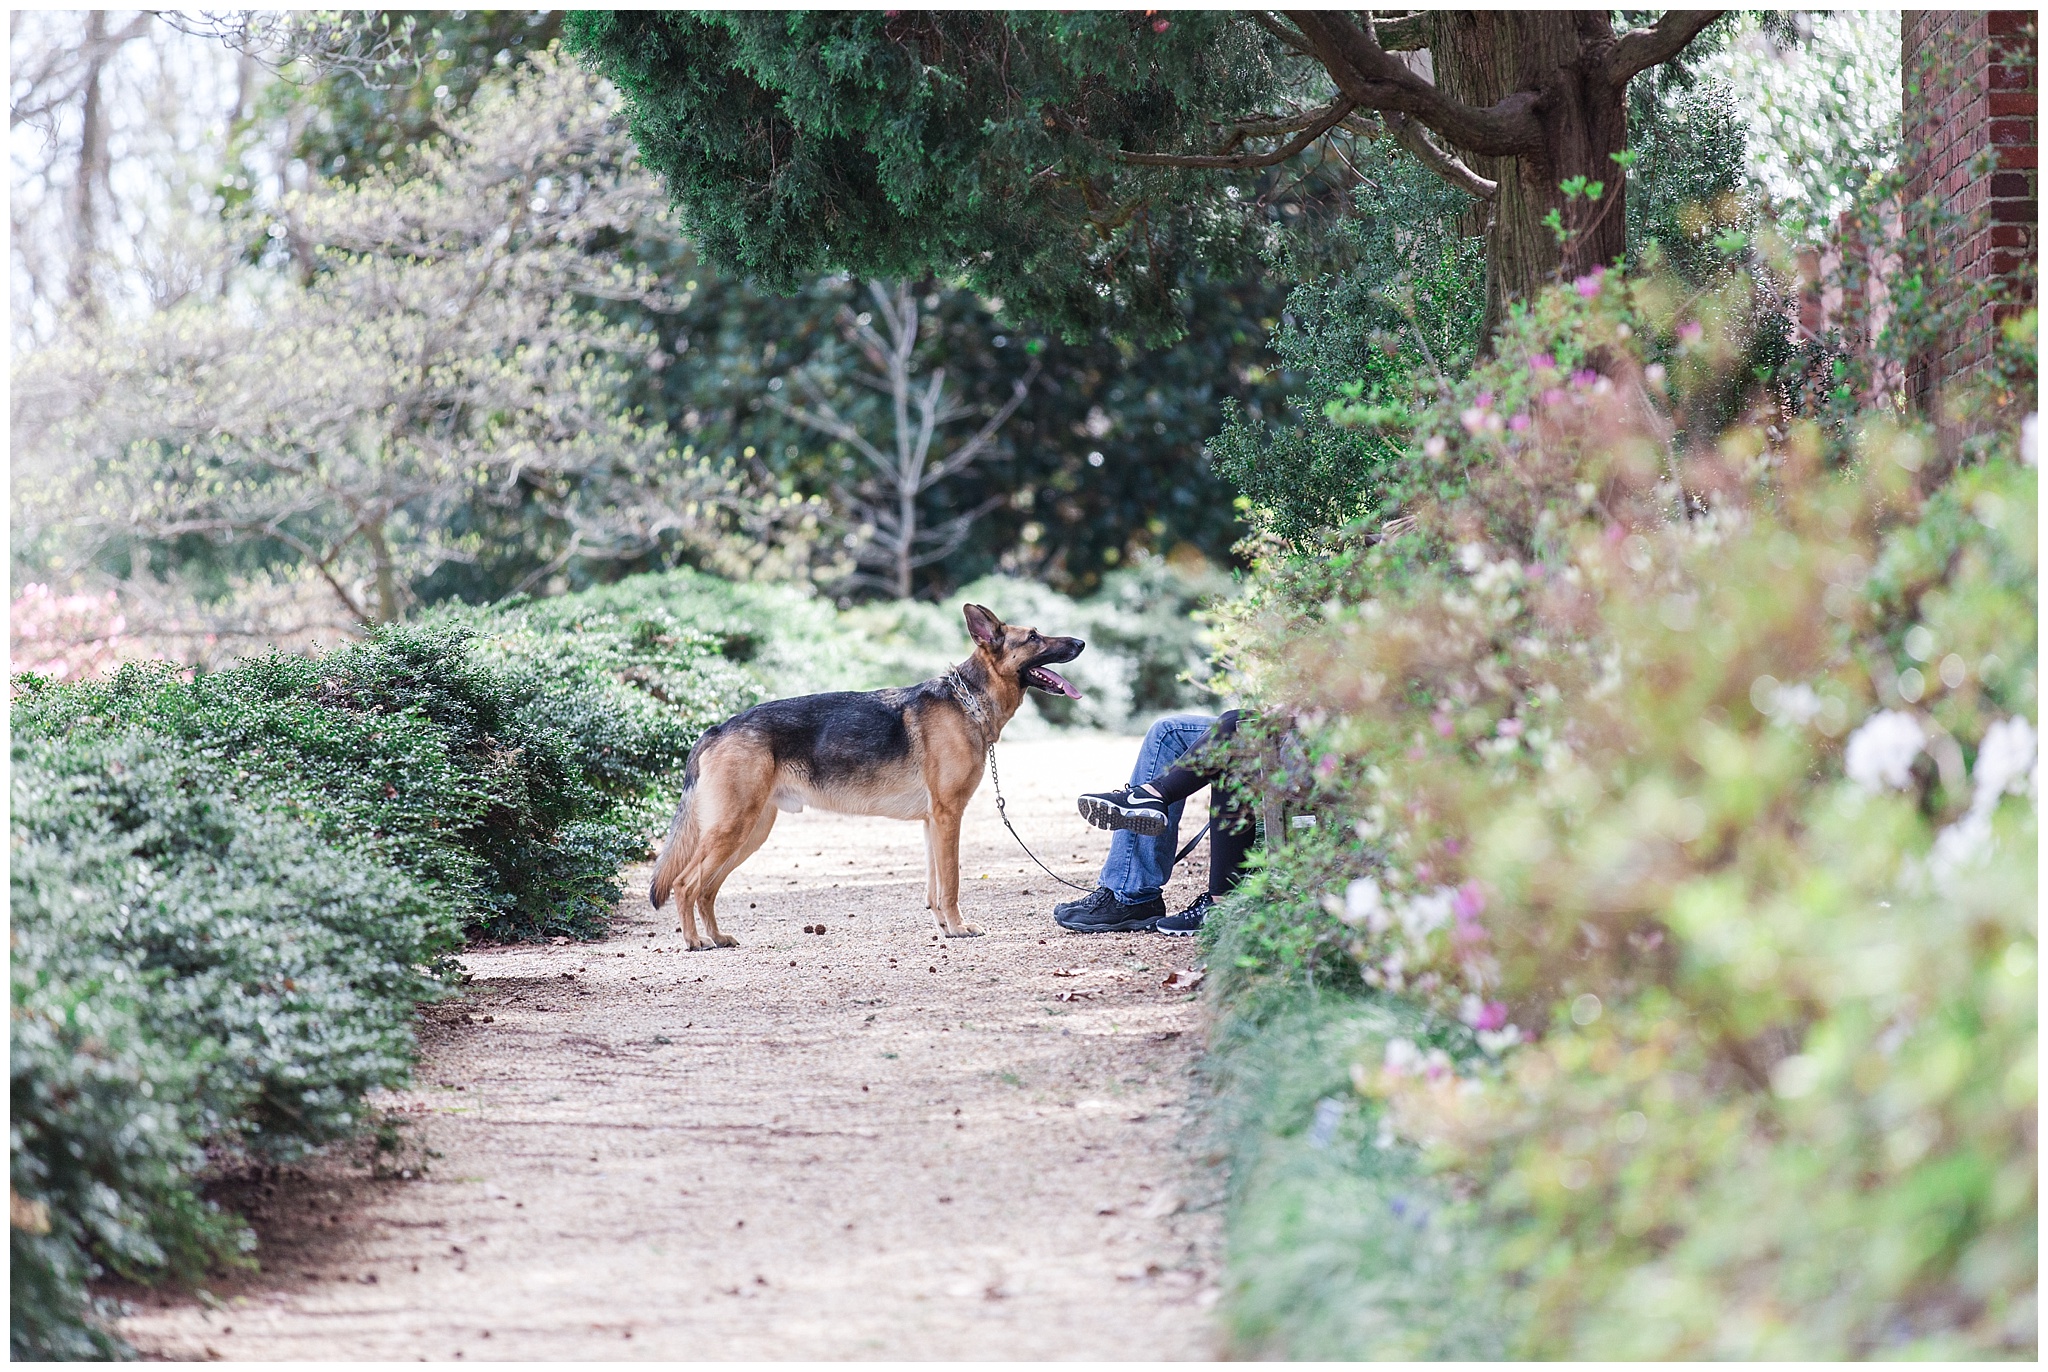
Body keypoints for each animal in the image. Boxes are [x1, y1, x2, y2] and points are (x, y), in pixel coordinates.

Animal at [651, 606, 1089, 950]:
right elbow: (951, 883)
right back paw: (694, 941)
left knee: (706, 889)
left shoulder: (933, 824)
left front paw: (945, 929)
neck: (967, 701)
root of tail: (717, 728)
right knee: (687, 884)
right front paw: (959, 928)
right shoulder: (949, 817)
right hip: (732, 830)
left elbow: (934, 888)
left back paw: (716, 937)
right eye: (1033, 637)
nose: (1081, 643)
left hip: (749, 834)